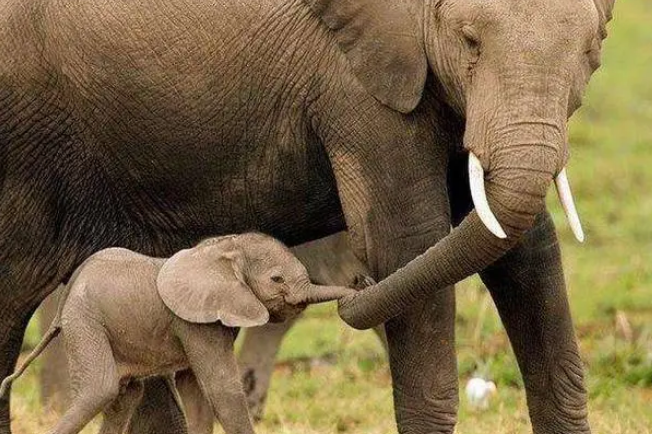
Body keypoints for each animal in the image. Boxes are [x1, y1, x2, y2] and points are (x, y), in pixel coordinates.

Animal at [1, 233, 357, 434]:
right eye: (277, 279)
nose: (359, 282)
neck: (223, 249)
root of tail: (70, 288)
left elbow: (195, 387)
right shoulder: (195, 322)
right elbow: (220, 388)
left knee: (125, 397)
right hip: (85, 322)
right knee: (98, 390)